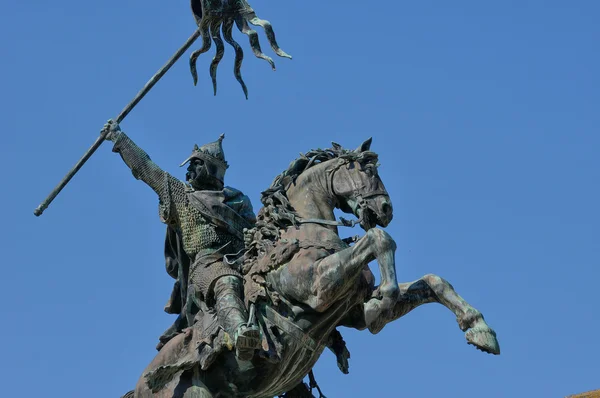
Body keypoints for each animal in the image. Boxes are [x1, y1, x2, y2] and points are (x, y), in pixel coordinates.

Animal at [129, 138, 500, 396]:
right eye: (365, 170)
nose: (385, 208)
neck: (300, 235)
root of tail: (138, 385)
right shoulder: (317, 289)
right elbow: (379, 239)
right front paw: (387, 298)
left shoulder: (354, 311)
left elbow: (433, 281)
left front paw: (478, 328)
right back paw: (244, 336)